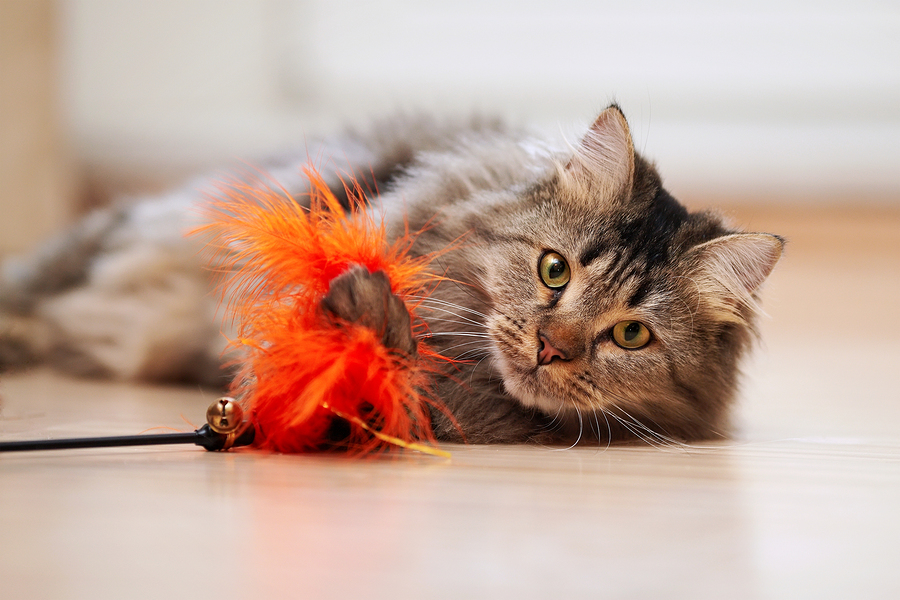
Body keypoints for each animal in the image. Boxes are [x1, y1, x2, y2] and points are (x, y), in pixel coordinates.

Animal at [0, 105, 780, 446]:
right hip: (141, 232)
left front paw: (370, 332)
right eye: (553, 270)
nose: (549, 347)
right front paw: (365, 315)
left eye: (630, 336)